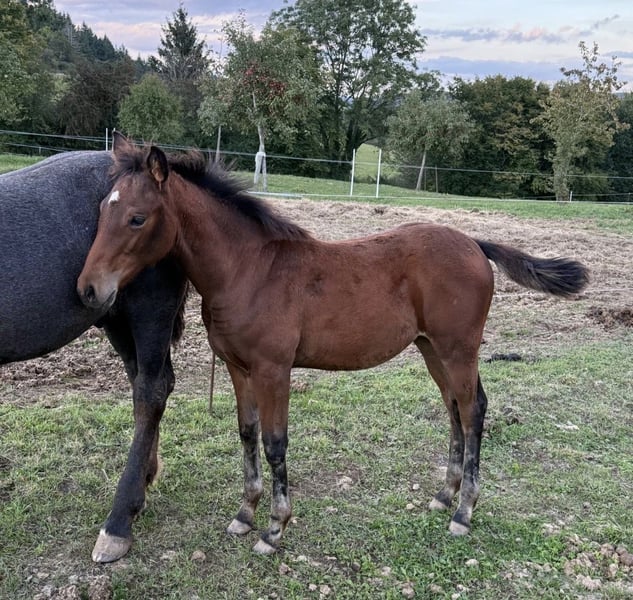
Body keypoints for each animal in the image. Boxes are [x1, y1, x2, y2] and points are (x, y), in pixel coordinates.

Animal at [77, 133, 589, 555]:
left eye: (137, 218)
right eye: (101, 211)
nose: (89, 290)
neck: (248, 270)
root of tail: (475, 244)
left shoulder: (273, 369)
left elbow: (275, 443)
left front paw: (275, 529)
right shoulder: (239, 368)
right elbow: (246, 434)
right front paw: (245, 515)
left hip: (458, 348)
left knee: (473, 410)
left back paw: (464, 512)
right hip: (431, 349)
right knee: (455, 410)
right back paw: (445, 495)